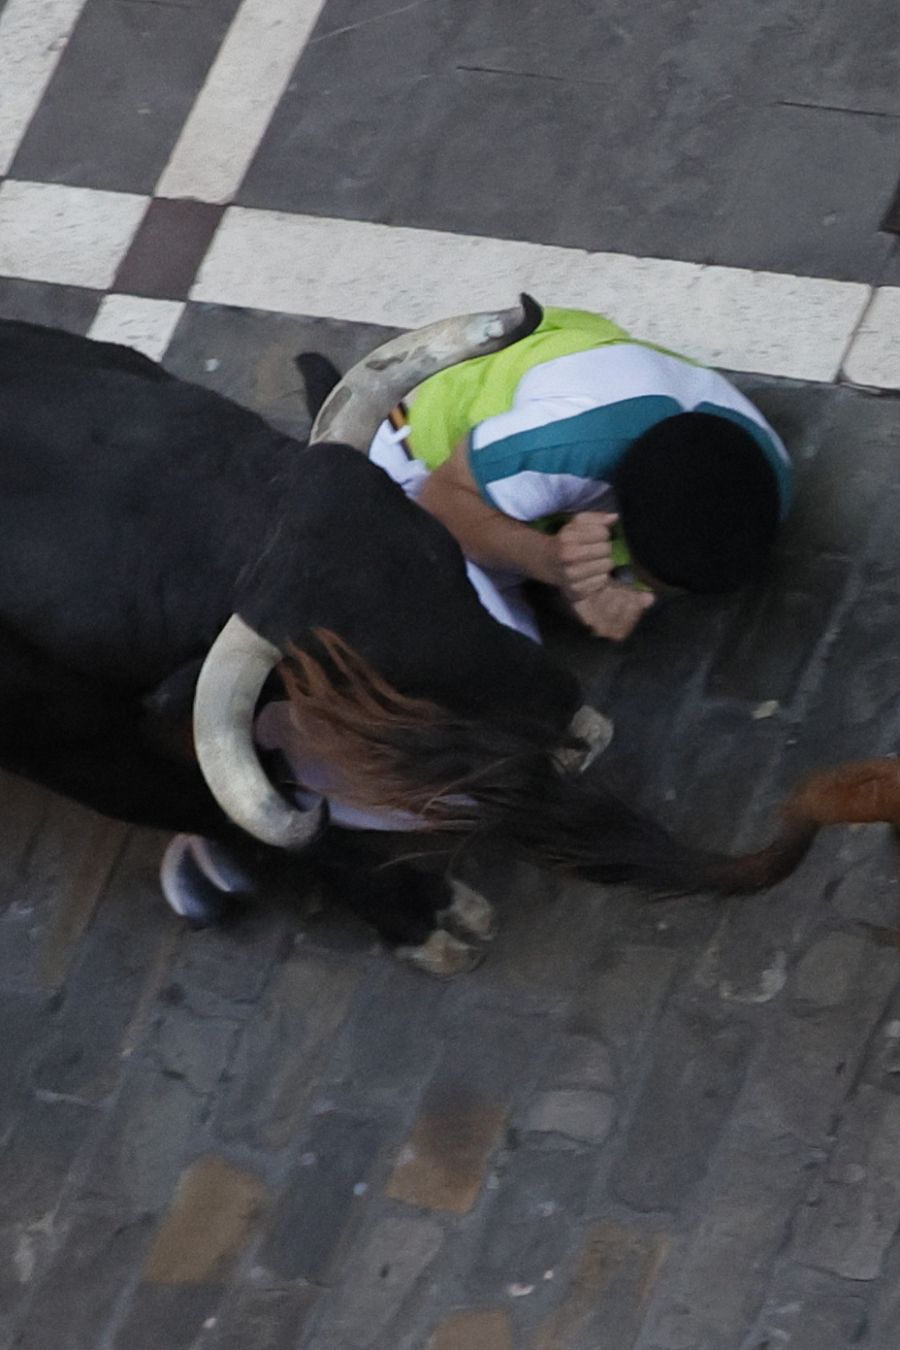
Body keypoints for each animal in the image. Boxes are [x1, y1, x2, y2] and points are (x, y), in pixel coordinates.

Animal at [0, 309, 852, 972]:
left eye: (444, 559)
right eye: (364, 675)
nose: (572, 728)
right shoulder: (75, 752)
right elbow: (247, 815)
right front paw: (423, 918)